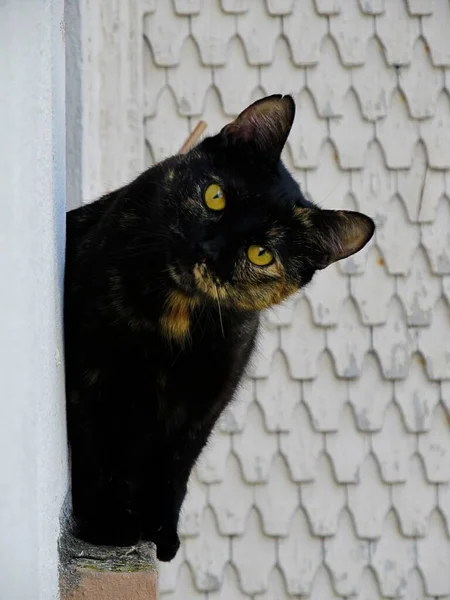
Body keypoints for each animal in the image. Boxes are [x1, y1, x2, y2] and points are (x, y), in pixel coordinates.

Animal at [65, 94, 374, 564]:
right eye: (216, 197)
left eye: (262, 253)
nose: (207, 248)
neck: (176, 316)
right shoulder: (92, 376)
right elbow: (94, 450)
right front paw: (107, 526)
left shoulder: (204, 403)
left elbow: (173, 469)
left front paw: (161, 534)